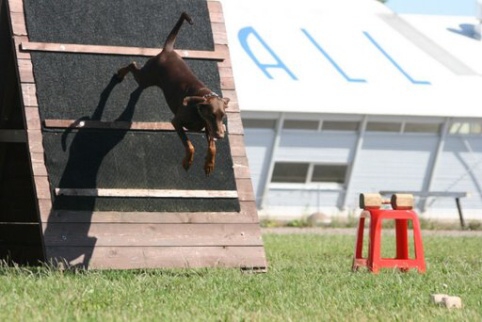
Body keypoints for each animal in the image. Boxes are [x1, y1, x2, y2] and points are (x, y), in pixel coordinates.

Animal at [116, 11, 230, 176]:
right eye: (211, 115)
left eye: (223, 116)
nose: (221, 136)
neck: (197, 108)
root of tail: (168, 51)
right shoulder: (177, 122)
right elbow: (190, 145)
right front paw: (187, 162)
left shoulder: (208, 128)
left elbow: (212, 147)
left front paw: (209, 164)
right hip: (147, 77)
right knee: (132, 65)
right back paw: (120, 74)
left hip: (146, 80)